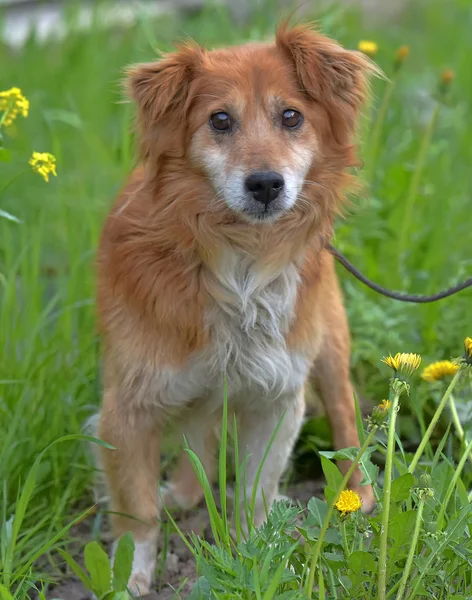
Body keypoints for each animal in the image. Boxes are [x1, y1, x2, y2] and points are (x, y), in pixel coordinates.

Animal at [95, 24, 376, 596]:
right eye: (219, 120)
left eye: (291, 116)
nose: (266, 183)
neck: (240, 260)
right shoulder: (127, 409)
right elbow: (137, 512)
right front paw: (130, 574)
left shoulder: (277, 397)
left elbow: (252, 494)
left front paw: (255, 559)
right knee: (198, 439)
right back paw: (182, 494)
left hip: (328, 344)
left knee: (344, 415)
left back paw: (360, 496)